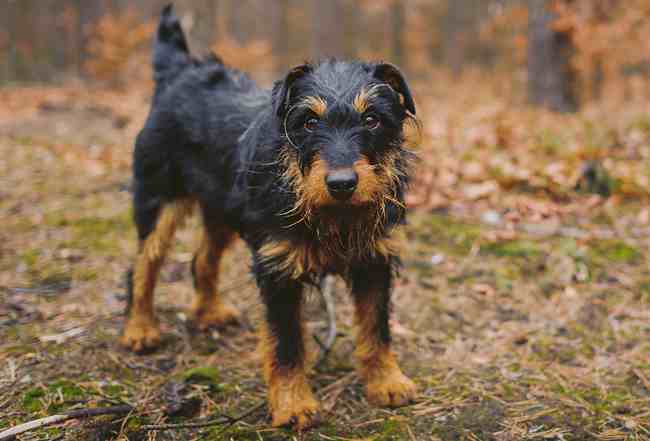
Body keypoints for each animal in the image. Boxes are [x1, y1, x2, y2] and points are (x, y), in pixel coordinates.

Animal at [121, 3, 416, 430]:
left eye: (372, 119)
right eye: (309, 121)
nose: (342, 183)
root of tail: (181, 71)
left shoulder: (374, 260)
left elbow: (376, 328)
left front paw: (386, 382)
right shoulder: (278, 270)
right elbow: (287, 344)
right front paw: (293, 404)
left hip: (221, 209)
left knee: (202, 259)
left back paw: (209, 312)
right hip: (158, 201)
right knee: (143, 266)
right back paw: (140, 328)